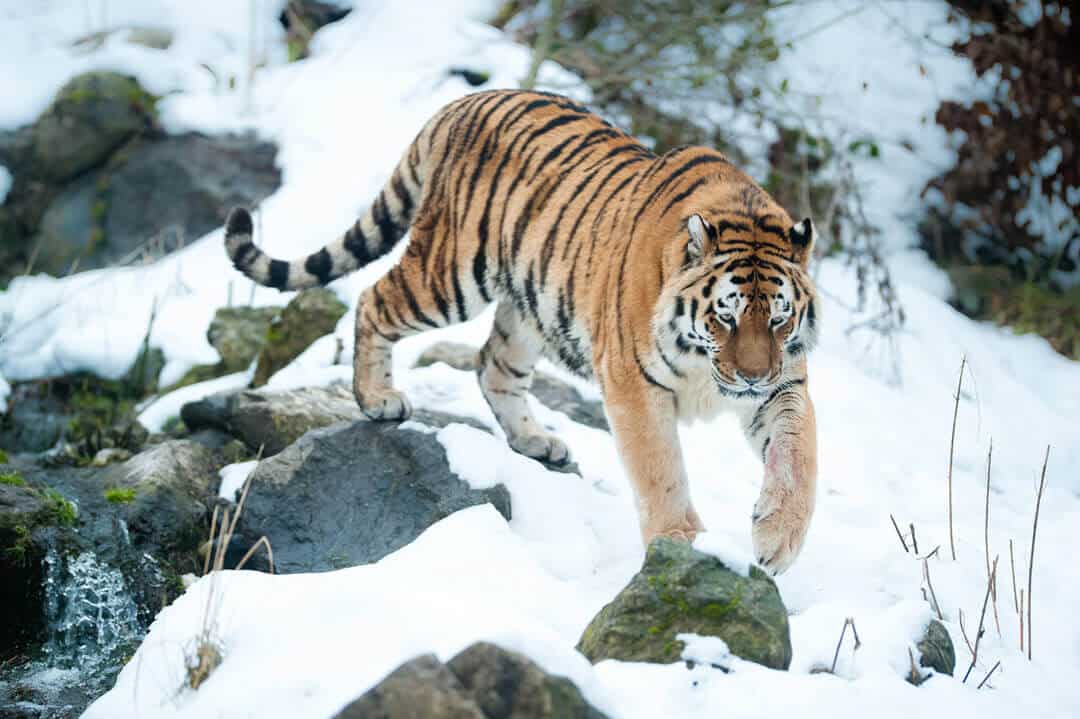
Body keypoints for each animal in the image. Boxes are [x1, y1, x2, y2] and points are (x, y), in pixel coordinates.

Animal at [225, 89, 816, 570]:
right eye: (725, 316)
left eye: (778, 318)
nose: (751, 377)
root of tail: (463, 103)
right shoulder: (634, 383)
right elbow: (660, 467)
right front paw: (679, 540)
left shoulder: (783, 383)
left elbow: (798, 456)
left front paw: (777, 541)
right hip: (449, 275)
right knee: (375, 299)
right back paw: (378, 398)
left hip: (532, 304)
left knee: (493, 365)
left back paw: (535, 440)